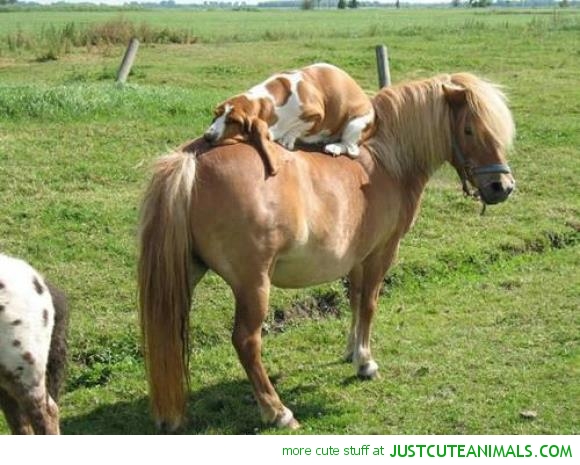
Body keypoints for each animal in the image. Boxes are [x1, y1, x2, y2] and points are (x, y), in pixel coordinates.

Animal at [203, 63, 375, 176]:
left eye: (234, 121)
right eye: (216, 114)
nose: (207, 136)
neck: (268, 102)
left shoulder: (316, 114)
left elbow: (298, 127)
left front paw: (287, 139)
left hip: (354, 124)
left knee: (352, 149)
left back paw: (334, 147)